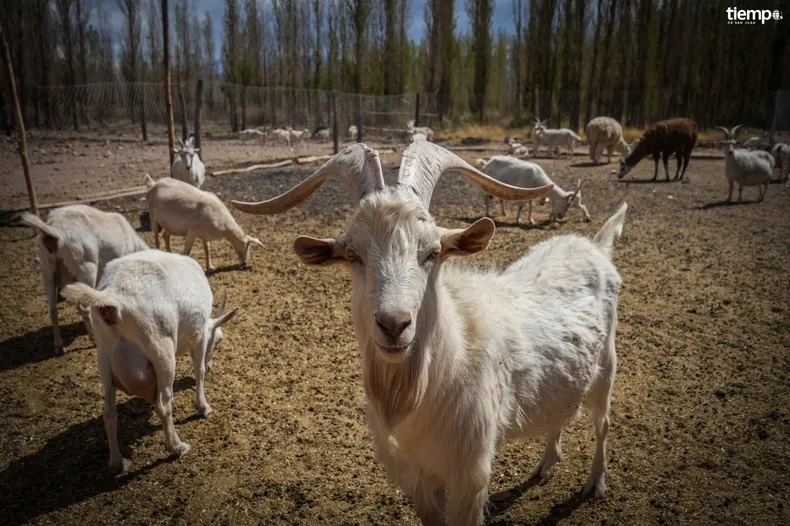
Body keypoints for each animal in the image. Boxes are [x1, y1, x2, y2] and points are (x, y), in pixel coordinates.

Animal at [18, 206, 148, 354]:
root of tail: (55, 232)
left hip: (47, 270)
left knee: (53, 310)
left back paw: (59, 346)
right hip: (86, 268)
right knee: (84, 308)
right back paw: (93, 338)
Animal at [60, 252, 237, 474]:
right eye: (219, 339)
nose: (213, 364)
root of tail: (113, 300)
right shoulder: (200, 335)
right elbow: (200, 370)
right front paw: (203, 407)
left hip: (104, 358)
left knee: (109, 412)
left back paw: (117, 462)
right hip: (162, 351)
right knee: (163, 405)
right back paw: (177, 447)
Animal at [232, 142, 628, 524]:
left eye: (433, 252)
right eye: (353, 255)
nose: (394, 324)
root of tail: (594, 245)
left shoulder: (470, 474)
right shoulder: (417, 478)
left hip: (607, 368)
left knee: (604, 423)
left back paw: (596, 483)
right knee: (561, 412)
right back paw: (545, 466)